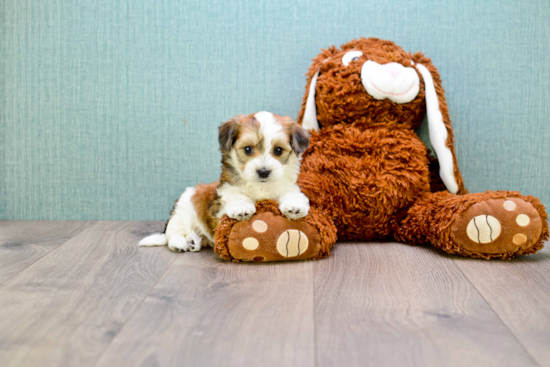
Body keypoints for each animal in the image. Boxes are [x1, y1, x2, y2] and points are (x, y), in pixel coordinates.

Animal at [140, 110, 312, 253]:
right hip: (185, 209)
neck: (260, 187)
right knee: (174, 231)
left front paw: (294, 206)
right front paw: (242, 207)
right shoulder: (225, 194)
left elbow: (292, 193)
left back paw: (193, 241)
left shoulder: (287, 185)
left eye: (278, 150)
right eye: (248, 149)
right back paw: (180, 243)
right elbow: (235, 195)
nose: (263, 171)